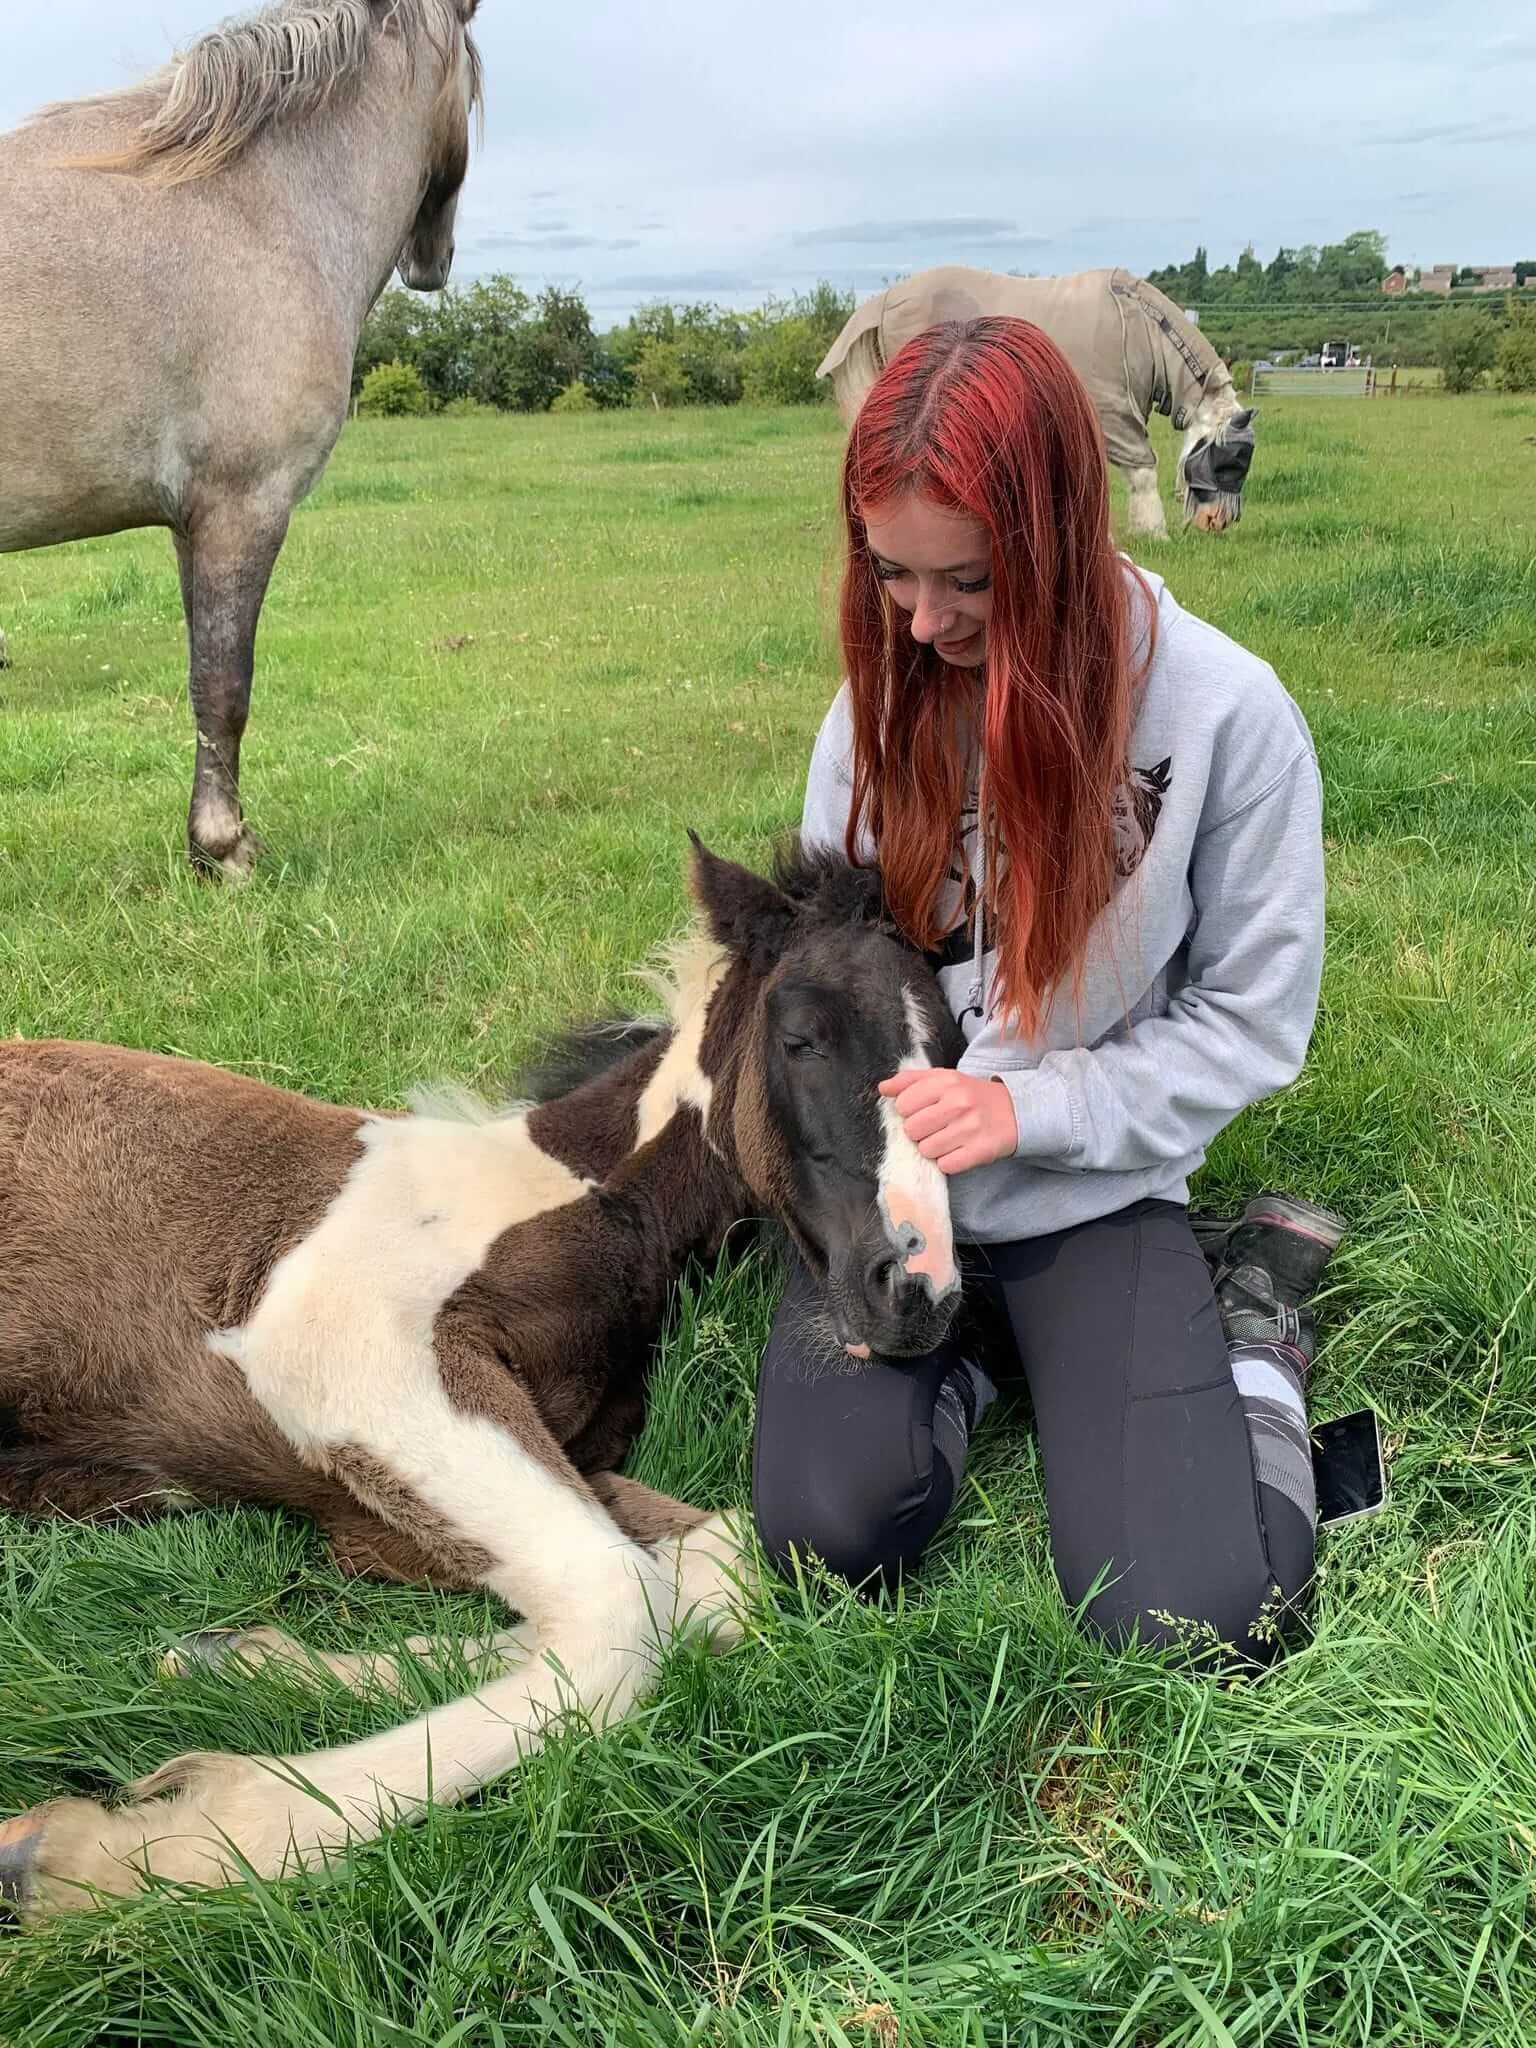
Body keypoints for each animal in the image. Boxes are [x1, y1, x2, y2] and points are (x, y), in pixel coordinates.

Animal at [0, 0, 483, 877]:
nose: (434, 262)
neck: (255, 206)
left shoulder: (192, 523)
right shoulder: (241, 508)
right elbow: (223, 687)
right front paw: (223, 850)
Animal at [0, 839, 963, 1914]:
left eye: (955, 1049)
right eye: (801, 1039)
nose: (919, 1291)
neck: (574, 1200)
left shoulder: (490, 1473)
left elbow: (706, 1569)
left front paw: (235, 1663)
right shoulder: (355, 1362)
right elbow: (619, 1608)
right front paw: (104, 1855)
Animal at [816, 265, 1258, 541]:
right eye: (1229, 462)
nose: (1217, 523)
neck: (1142, 328)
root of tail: (884, 300)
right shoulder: (1114, 413)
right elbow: (1142, 473)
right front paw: (1154, 533)